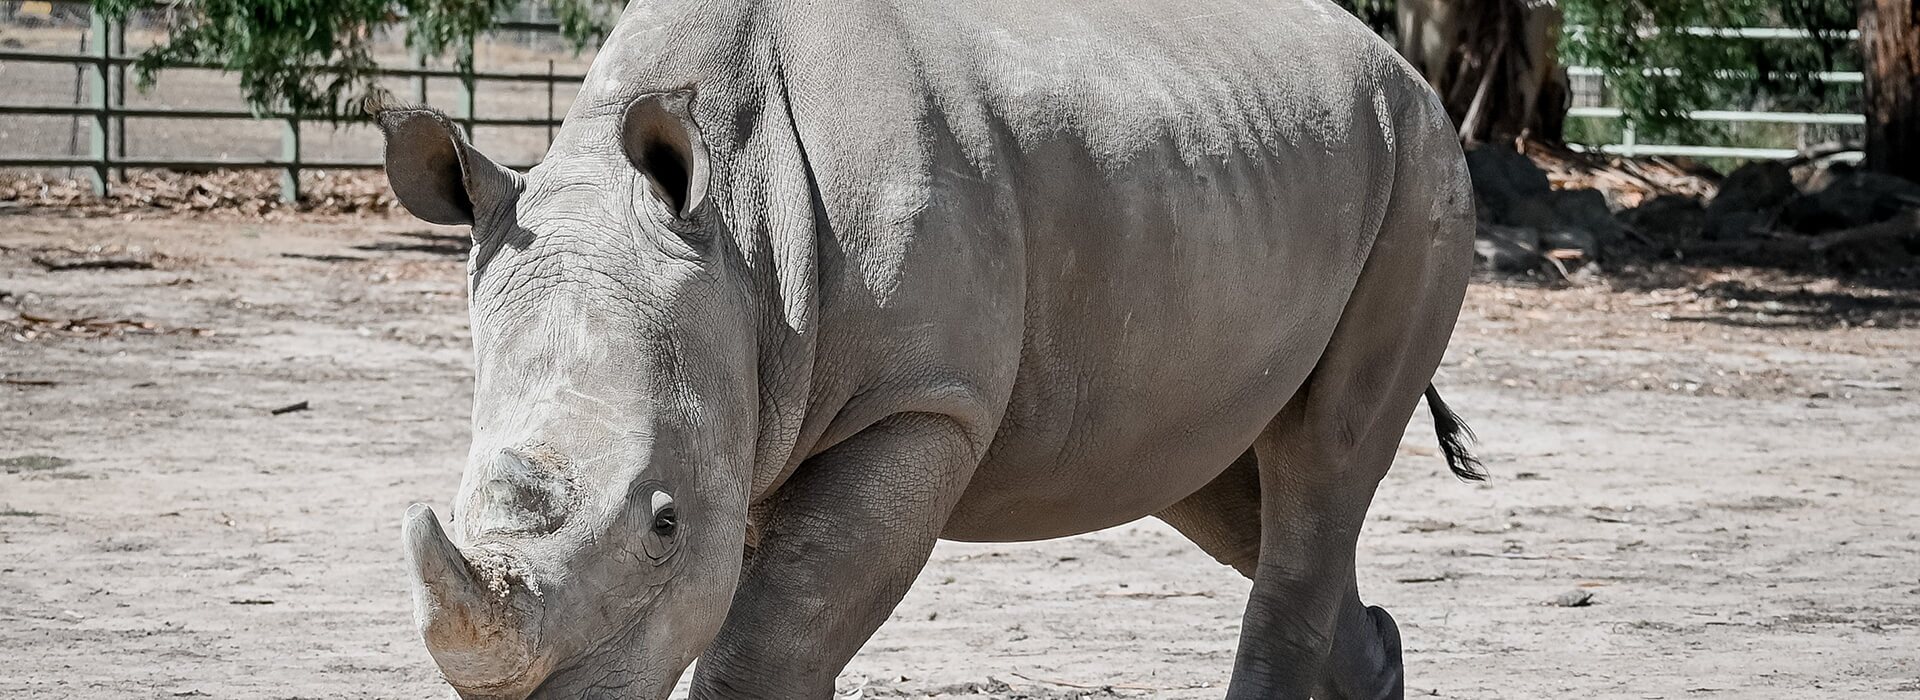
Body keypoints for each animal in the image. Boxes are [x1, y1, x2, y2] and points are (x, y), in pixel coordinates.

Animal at [379, 0, 1481, 697]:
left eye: (662, 524)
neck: (737, 226)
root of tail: (1402, 66)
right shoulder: (749, 396)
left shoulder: (919, 400)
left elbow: (767, 641)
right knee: (1218, 481)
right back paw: (1378, 659)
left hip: (1424, 169)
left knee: (1323, 456)